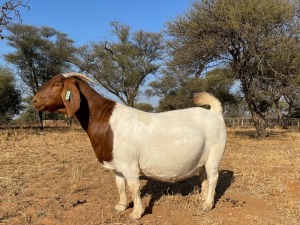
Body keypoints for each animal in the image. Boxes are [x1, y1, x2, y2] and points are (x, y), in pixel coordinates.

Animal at [32, 72, 225, 220]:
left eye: (56, 85)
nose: (34, 100)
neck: (105, 121)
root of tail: (214, 112)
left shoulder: (130, 165)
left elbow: (133, 186)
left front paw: (136, 213)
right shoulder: (117, 166)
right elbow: (120, 185)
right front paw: (121, 206)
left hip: (215, 154)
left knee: (213, 176)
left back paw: (207, 204)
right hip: (201, 159)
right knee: (203, 176)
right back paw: (202, 198)